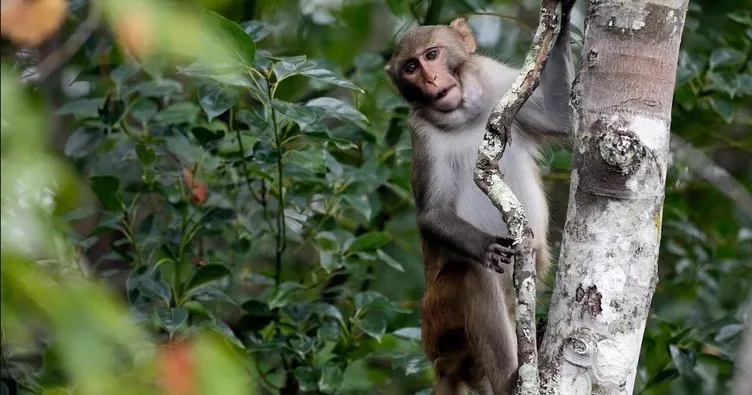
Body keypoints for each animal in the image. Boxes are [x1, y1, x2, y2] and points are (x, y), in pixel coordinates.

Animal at [384, 2, 572, 392]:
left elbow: (558, 114)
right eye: (411, 68)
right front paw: (484, 245)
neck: (463, 115)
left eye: (432, 55)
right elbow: (433, 215)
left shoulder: (495, 78)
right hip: (437, 323)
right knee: (471, 275)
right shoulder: (421, 133)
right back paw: (511, 380)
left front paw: (562, 17)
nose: (430, 79)